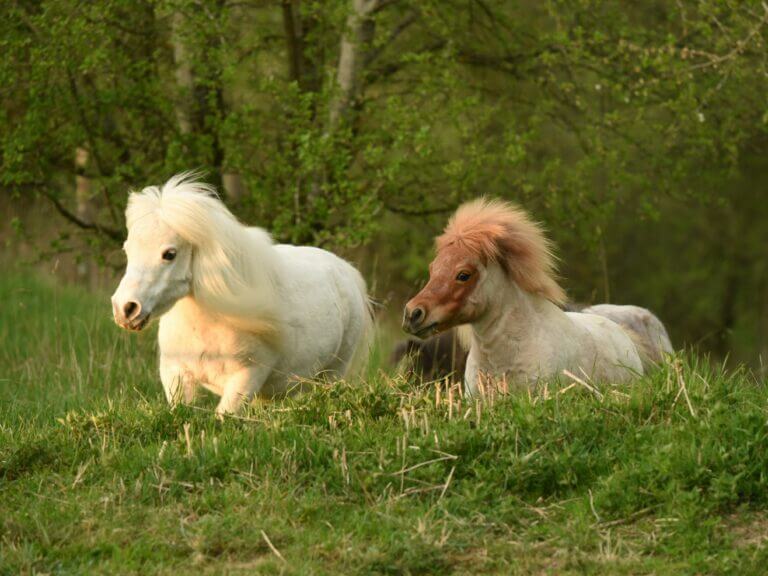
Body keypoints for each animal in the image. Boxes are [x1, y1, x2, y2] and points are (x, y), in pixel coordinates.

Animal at [111, 173, 372, 416]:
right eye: (127, 249)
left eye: (169, 254)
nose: (126, 309)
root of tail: (345, 271)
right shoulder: (176, 375)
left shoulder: (246, 379)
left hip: (331, 374)